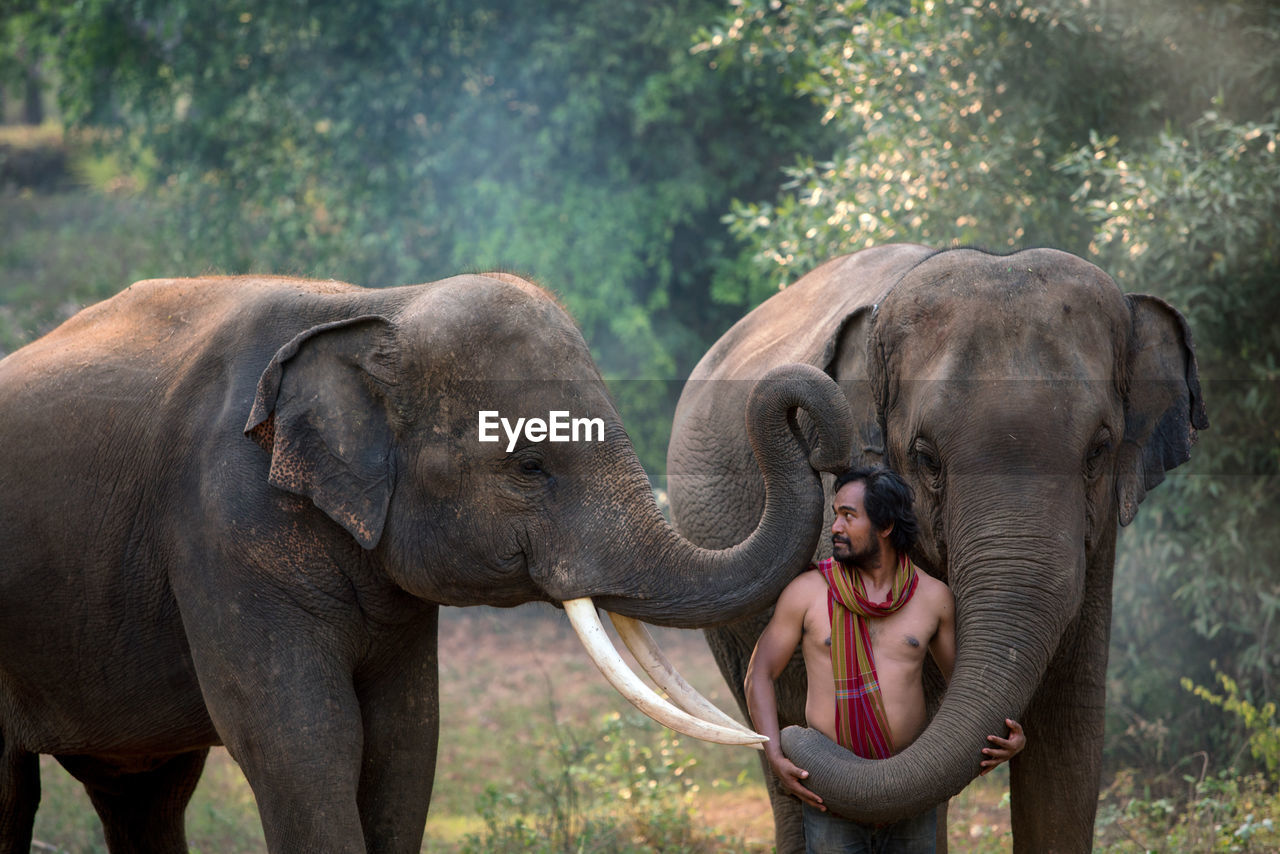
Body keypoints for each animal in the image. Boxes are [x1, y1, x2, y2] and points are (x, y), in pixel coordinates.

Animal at [2, 270, 860, 850]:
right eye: (530, 467)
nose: (811, 407)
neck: (370, 303)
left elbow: (405, 740)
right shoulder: (221, 528)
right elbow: (302, 742)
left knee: (144, 792)